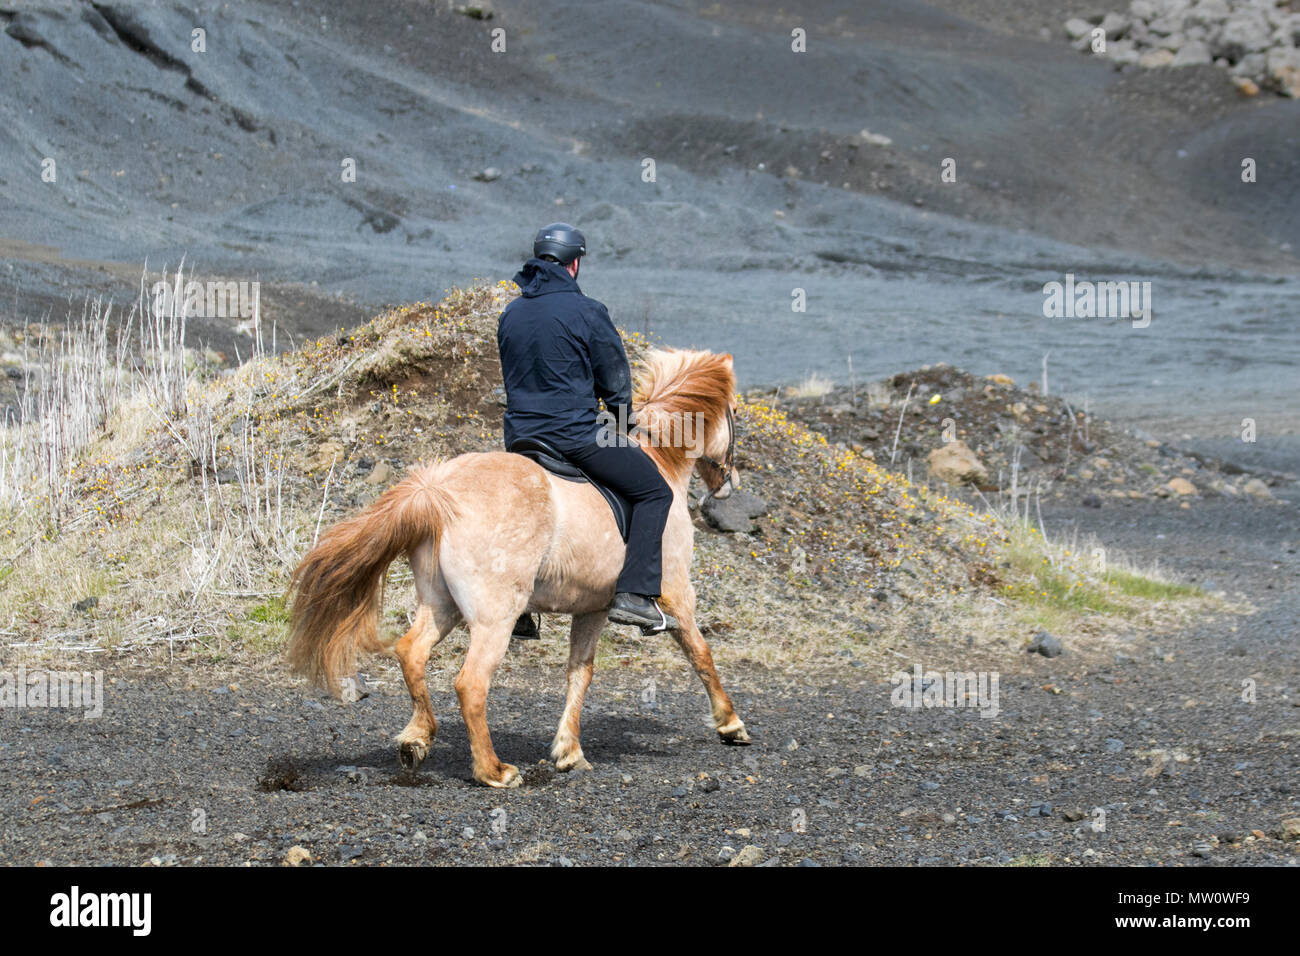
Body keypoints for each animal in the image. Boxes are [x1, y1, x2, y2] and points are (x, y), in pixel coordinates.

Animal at [284, 348, 754, 790]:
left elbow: (580, 672)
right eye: (734, 412)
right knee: (471, 684)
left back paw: (416, 740)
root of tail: (439, 491)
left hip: (441, 603)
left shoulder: (593, 608)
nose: (729, 485)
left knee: (411, 652)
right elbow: (701, 653)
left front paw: (569, 751)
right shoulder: (676, 593)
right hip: (495, 617)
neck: (661, 459)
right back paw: (493, 771)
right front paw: (731, 724)